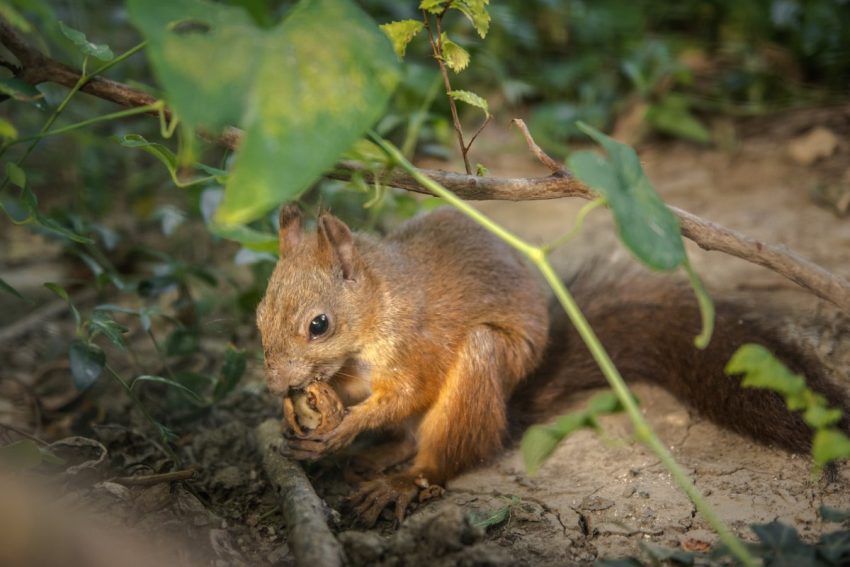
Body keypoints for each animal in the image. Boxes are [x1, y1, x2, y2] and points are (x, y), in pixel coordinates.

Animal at [256, 204, 848, 528]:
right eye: (259, 313)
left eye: (319, 325)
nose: (277, 382)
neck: (380, 302)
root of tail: (512, 401)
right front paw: (305, 408)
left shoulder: (416, 344)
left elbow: (408, 390)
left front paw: (341, 428)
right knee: (408, 437)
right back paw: (379, 455)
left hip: (482, 365)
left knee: (447, 452)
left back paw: (402, 480)